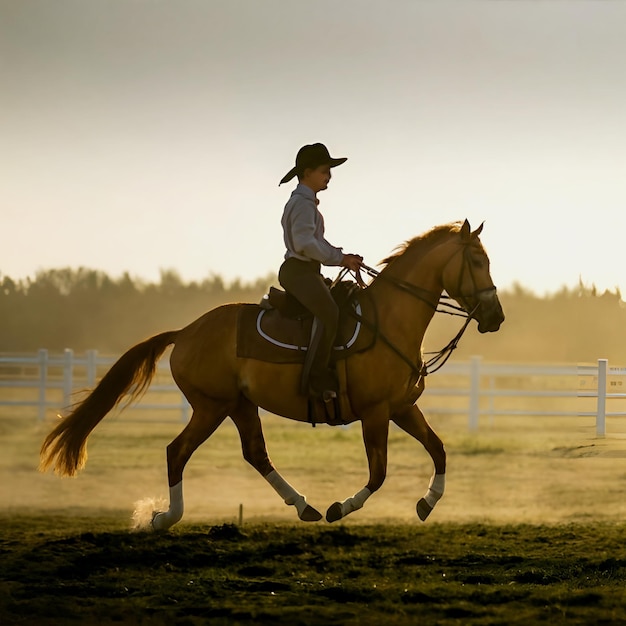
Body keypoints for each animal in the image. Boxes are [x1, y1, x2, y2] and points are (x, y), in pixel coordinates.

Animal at [40, 219, 502, 528]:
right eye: (477, 260)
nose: (495, 317)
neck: (387, 321)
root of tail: (186, 331)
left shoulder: (401, 408)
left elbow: (439, 450)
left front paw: (427, 502)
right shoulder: (375, 413)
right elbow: (379, 473)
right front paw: (341, 507)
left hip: (239, 405)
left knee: (255, 454)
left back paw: (303, 505)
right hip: (212, 406)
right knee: (178, 451)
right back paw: (165, 517)